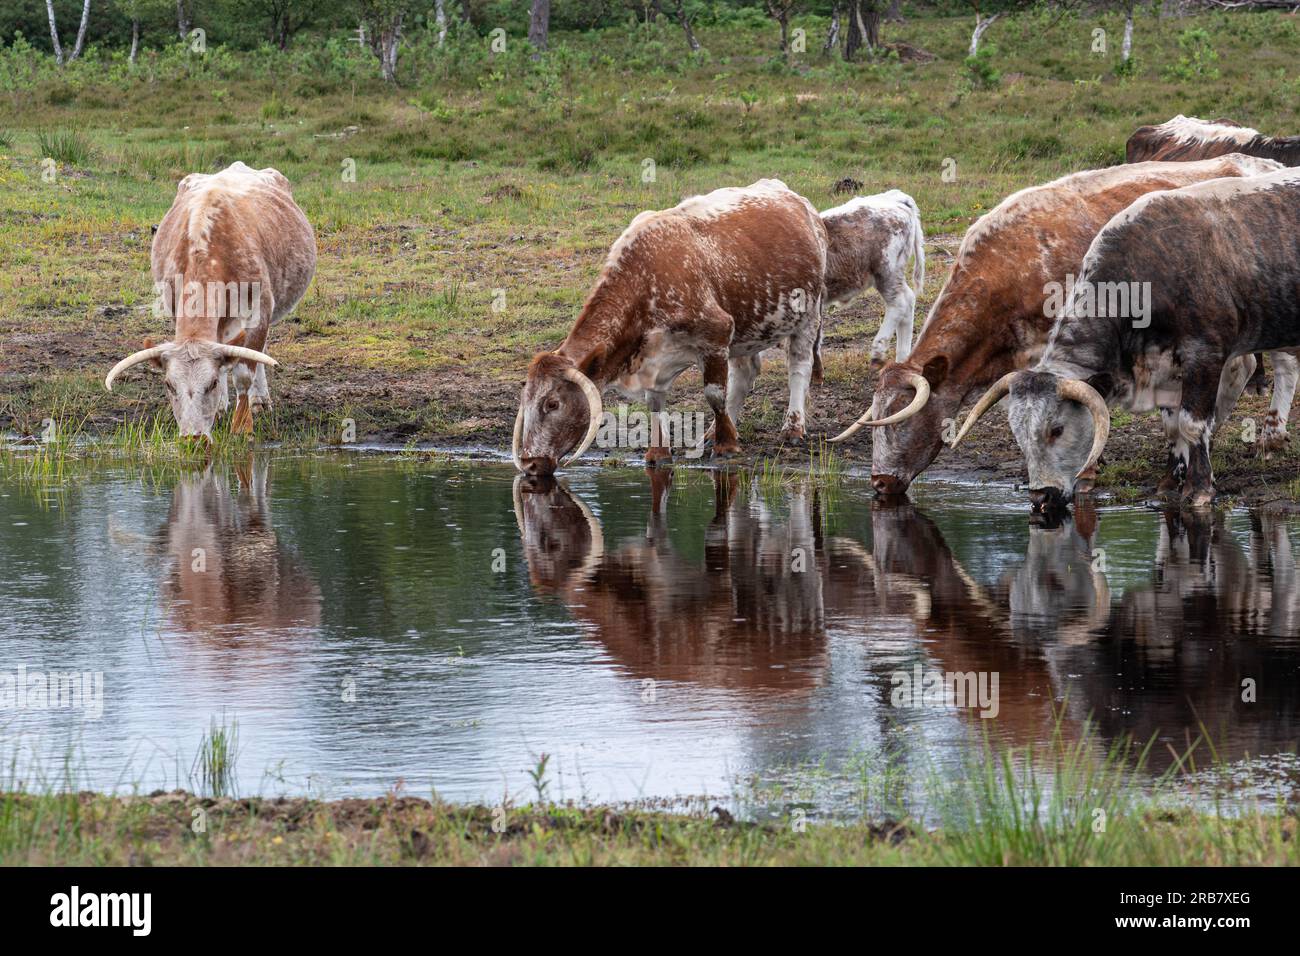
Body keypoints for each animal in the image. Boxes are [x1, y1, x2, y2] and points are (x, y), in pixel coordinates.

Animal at [101, 162, 314, 442]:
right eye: (169, 385)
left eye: (210, 383)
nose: (194, 437)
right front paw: (220, 409)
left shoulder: (259, 308)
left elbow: (244, 372)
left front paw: (242, 425)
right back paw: (223, 405)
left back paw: (259, 400)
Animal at [506, 178, 821, 476]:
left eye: (552, 404)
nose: (531, 463)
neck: (647, 279)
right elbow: (655, 401)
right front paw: (658, 452)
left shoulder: (717, 332)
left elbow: (714, 393)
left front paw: (726, 446)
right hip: (744, 331)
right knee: (744, 374)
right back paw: (713, 431)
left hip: (808, 317)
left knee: (799, 367)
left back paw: (793, 427)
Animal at [821, 191, 925, 366]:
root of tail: (896, 198)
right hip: (893, 275)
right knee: (908, 300)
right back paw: (901, 359)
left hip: (886, 274)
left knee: (899, 303)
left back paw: (879, 349)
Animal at [956, 164, 1300, 509]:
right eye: (1018, 433)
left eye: (1057, 429)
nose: (1041, 494)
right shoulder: (1166, 368)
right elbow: (1172, 428)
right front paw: (1171, 480)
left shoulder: (1204, 355)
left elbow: (1191, 424)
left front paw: (1199, 487)